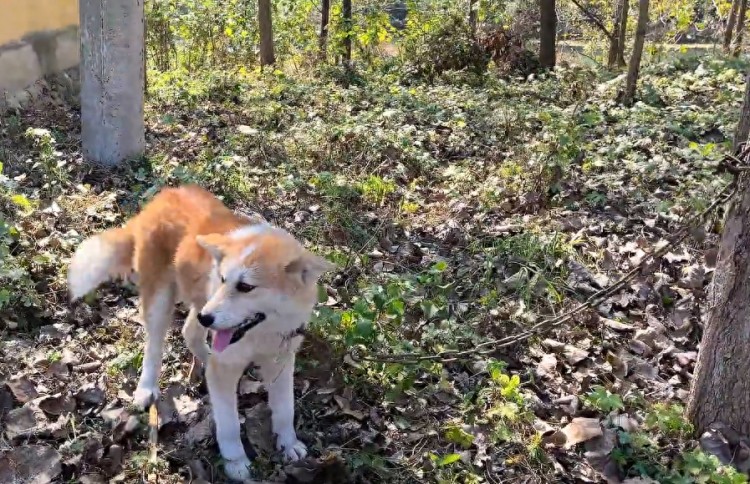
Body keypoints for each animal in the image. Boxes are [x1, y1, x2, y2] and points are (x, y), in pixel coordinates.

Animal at [69, 185, 336, 480]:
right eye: (223, 279)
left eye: (245, 287)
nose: (207, 318)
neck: (262, 333)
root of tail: (164, 196)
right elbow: (229, 424)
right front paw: (236, 463)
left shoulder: (280, 362)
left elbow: (285, 409)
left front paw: (288, 444)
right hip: (164, 301)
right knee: (154, 347)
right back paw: (147, 388)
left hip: (198, 301)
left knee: (191, 333)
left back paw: (206, 360)